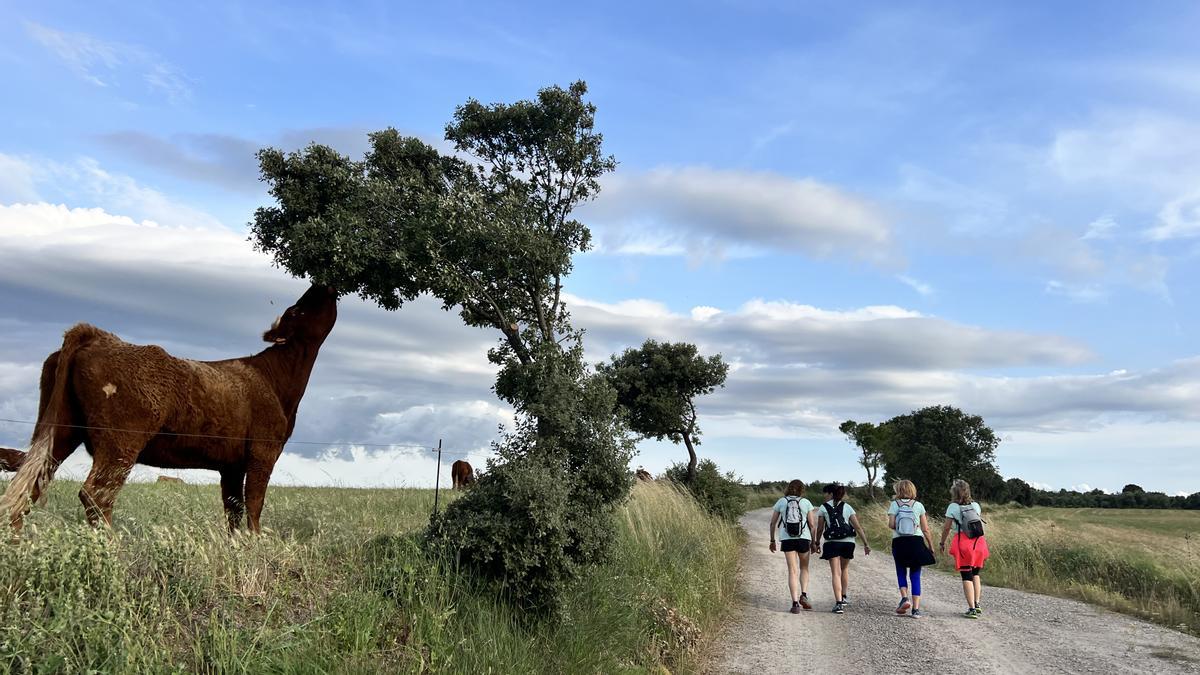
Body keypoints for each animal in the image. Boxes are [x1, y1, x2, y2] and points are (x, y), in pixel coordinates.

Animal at [1, 282, 338, 530]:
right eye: (297, 310)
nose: (321, 283)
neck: (275, 379)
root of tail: (96, 336)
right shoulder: (263, 451)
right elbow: (255, 504)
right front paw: (256, 546)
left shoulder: (230, 464)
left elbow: (233, 509)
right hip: (120, 442)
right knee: (96, 494)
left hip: (62, 430)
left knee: (29, 486)